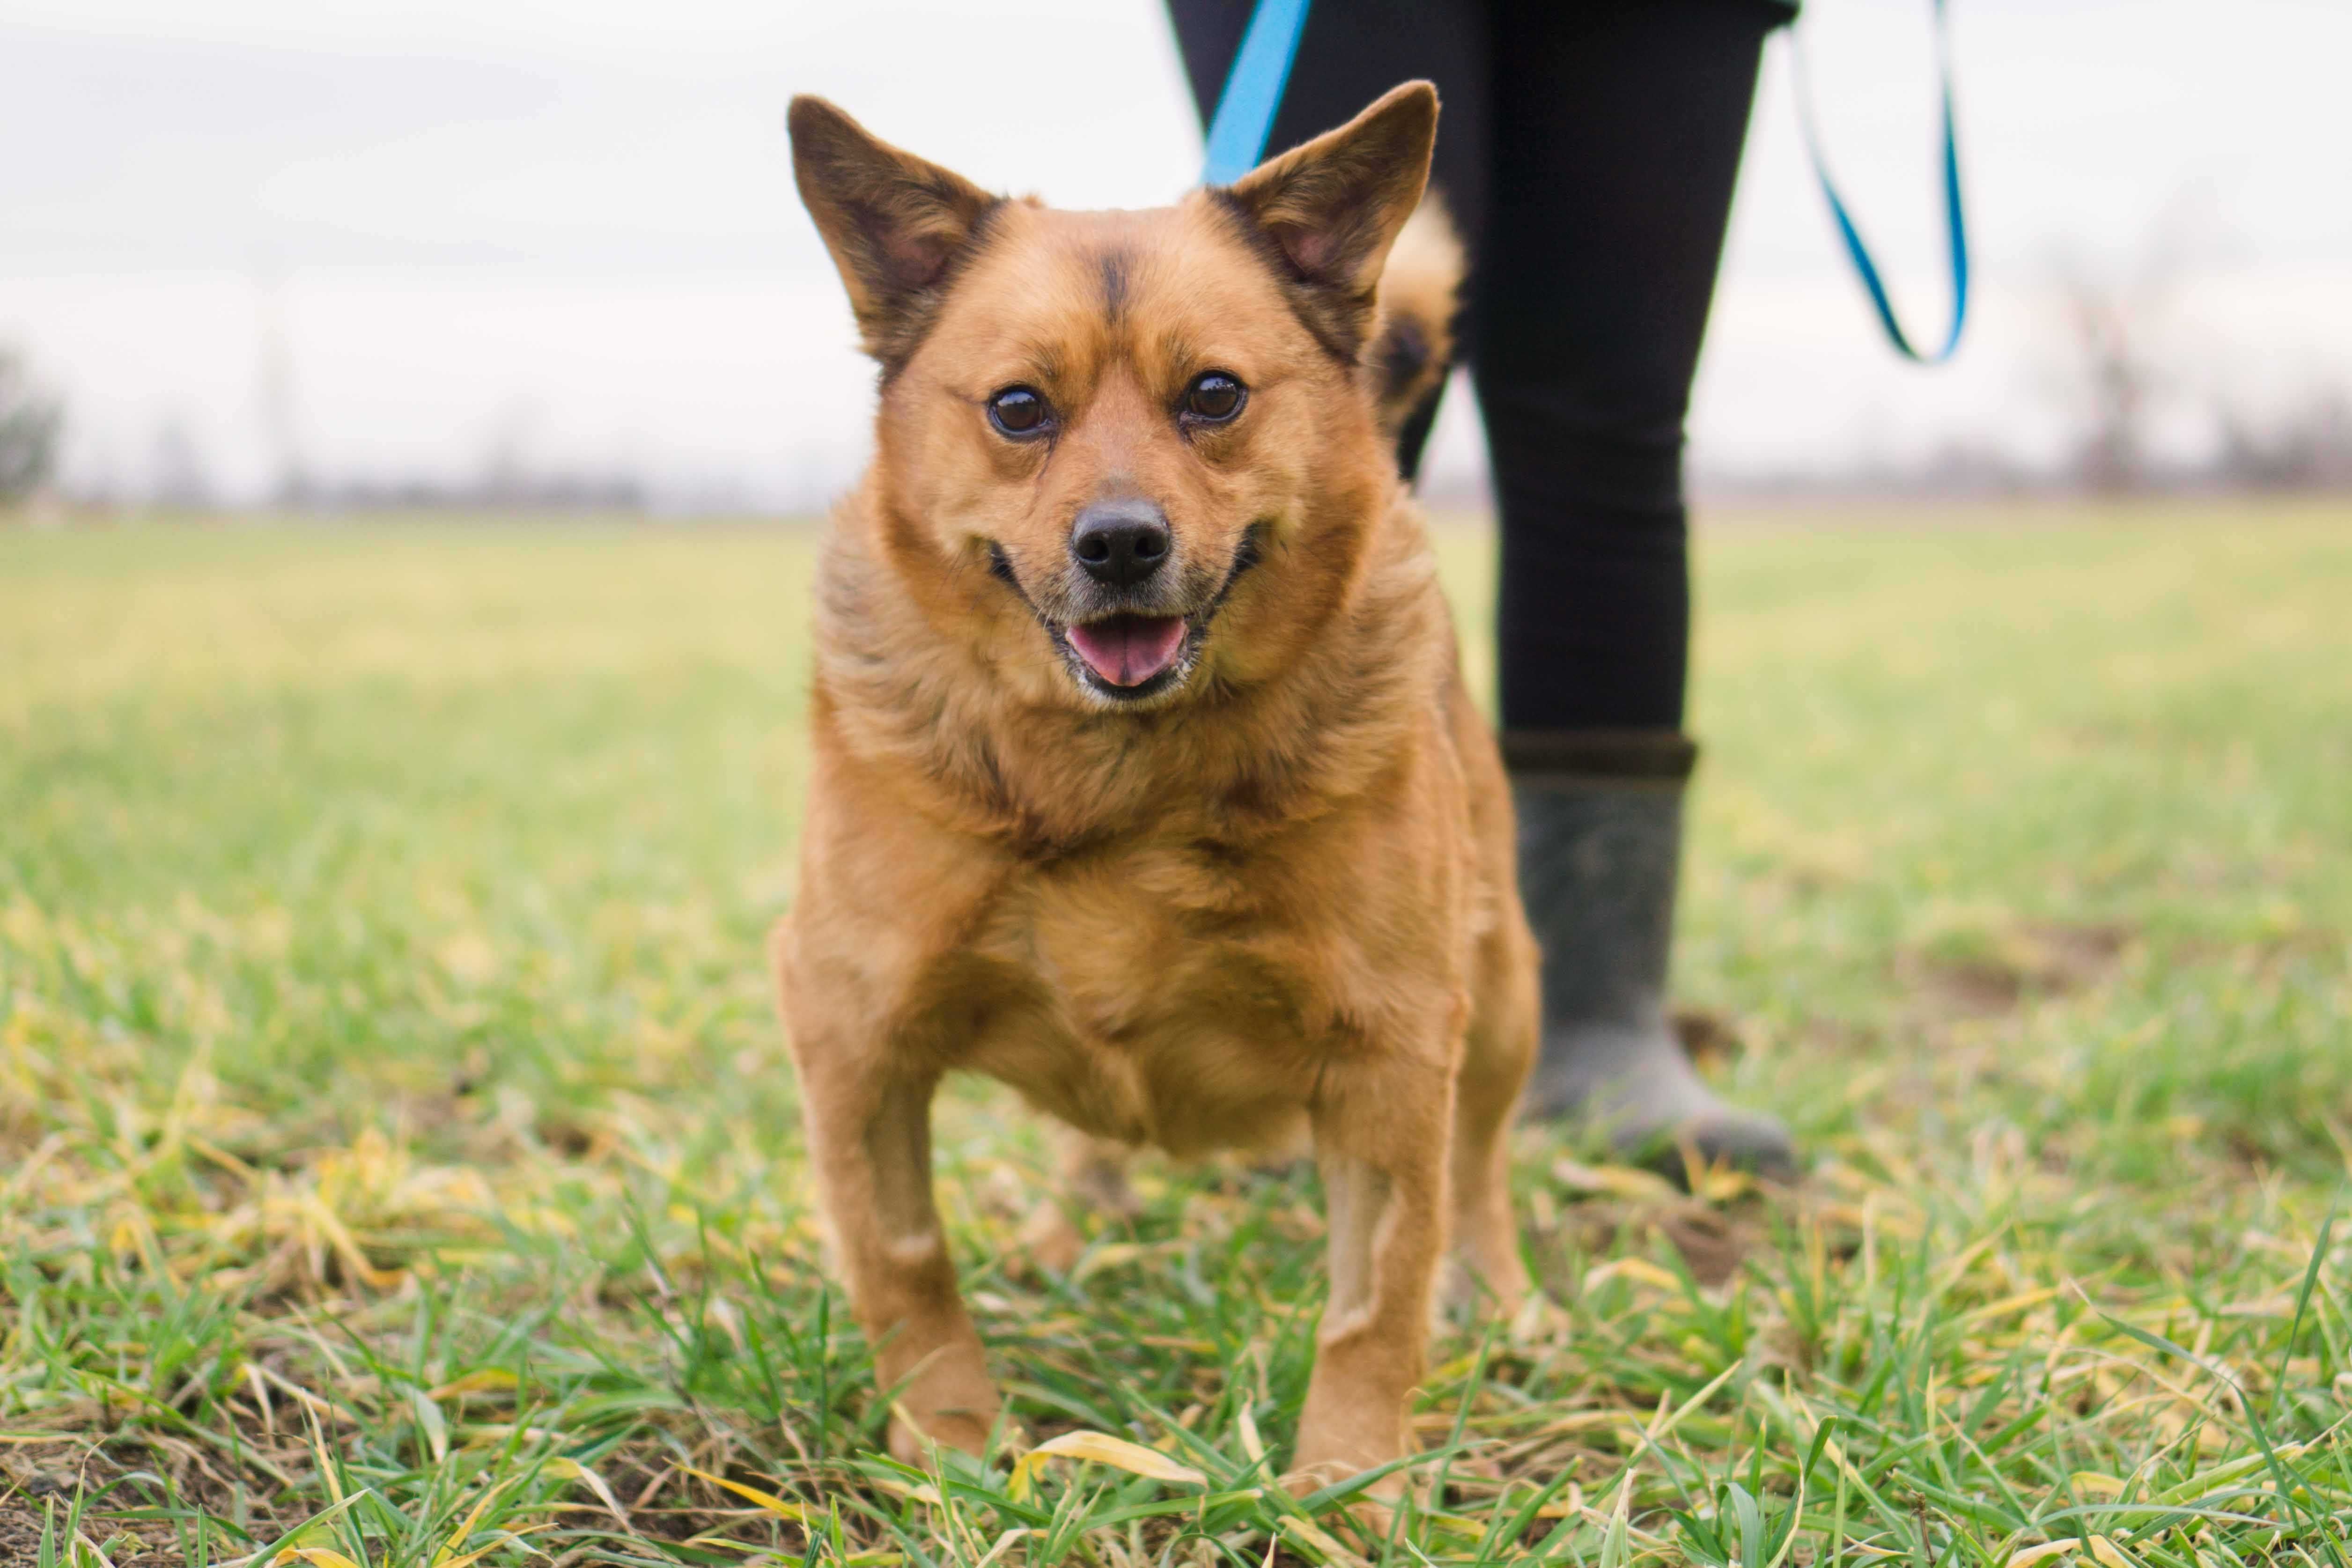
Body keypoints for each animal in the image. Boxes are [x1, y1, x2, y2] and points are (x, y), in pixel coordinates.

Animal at [776, 80, 1543, 1495]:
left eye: (1214, 394)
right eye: (1018, 409)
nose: (1121, 543)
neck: (1117, 775)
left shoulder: (1392, 1046)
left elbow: (1376, 1302)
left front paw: (1344, 1490)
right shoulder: (848, 1025)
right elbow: (903, 1261)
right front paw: (950, 1449)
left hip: (1505, 990)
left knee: (1477, 1169)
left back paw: (1504, 1298)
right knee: (1087, 1138)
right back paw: (1069, 1234)